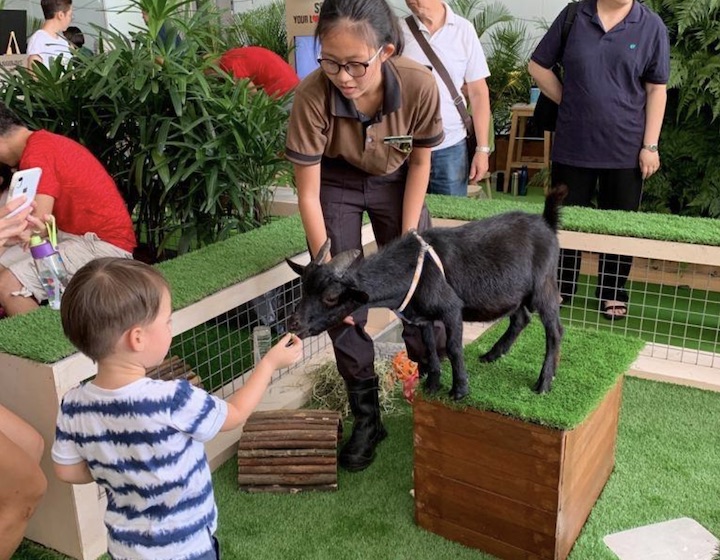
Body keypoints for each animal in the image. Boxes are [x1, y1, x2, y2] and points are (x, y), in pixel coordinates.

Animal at [286, 187, 568, 398]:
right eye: (303, 288)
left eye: (331, 297)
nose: (294, 324)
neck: (411, 269)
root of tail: (546, 222)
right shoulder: (421, 318)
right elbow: (430, 347)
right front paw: (432, 384)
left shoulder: (451, 309)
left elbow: (453, 347)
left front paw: (459, 389)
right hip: (515, 293)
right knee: (521, 318)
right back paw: (492, 354)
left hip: (543, 285)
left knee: (554, 330)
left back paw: (544, 381)